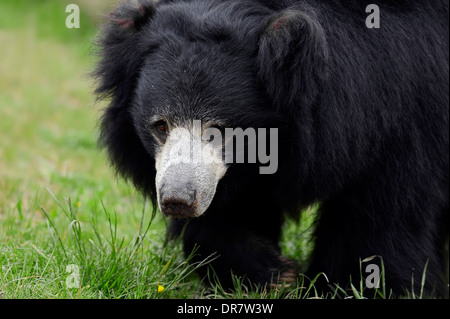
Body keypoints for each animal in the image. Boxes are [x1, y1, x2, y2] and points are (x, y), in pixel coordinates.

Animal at [93, 0, 448, 298]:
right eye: (160, 126)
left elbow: (381, 208)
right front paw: (271, 274)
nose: (178, 200)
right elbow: (234, 207)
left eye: (218, 130)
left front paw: (353, 286)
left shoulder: (401, 108)